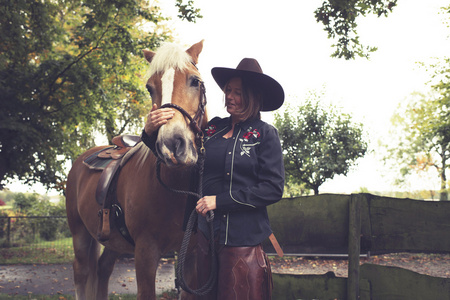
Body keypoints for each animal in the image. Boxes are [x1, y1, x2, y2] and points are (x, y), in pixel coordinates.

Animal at [65, 40, 207, 300]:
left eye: (195, 81)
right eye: (150, 88)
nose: (172, 145)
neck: (175, 190)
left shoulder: (190, 256)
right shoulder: (145, 253)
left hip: (112, 241)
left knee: (102, 269)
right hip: (79, 233)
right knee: (81, 272)